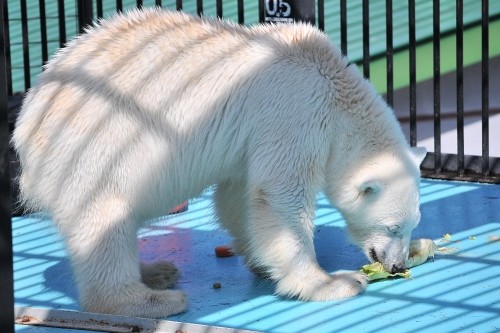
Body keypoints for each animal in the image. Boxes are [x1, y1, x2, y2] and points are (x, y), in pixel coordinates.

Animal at [11, 9, 426, 318]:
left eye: (412, 225)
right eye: (392, 227)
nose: (398, 266)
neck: (333, 86)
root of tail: (27, 125)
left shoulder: (253, 138)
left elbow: (238, 195)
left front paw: (259, 261)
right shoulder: (294, 112)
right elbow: (279, 196)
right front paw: (333, 282)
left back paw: (156, 272)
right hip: (93, 151)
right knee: (104, 221)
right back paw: (148, 300)